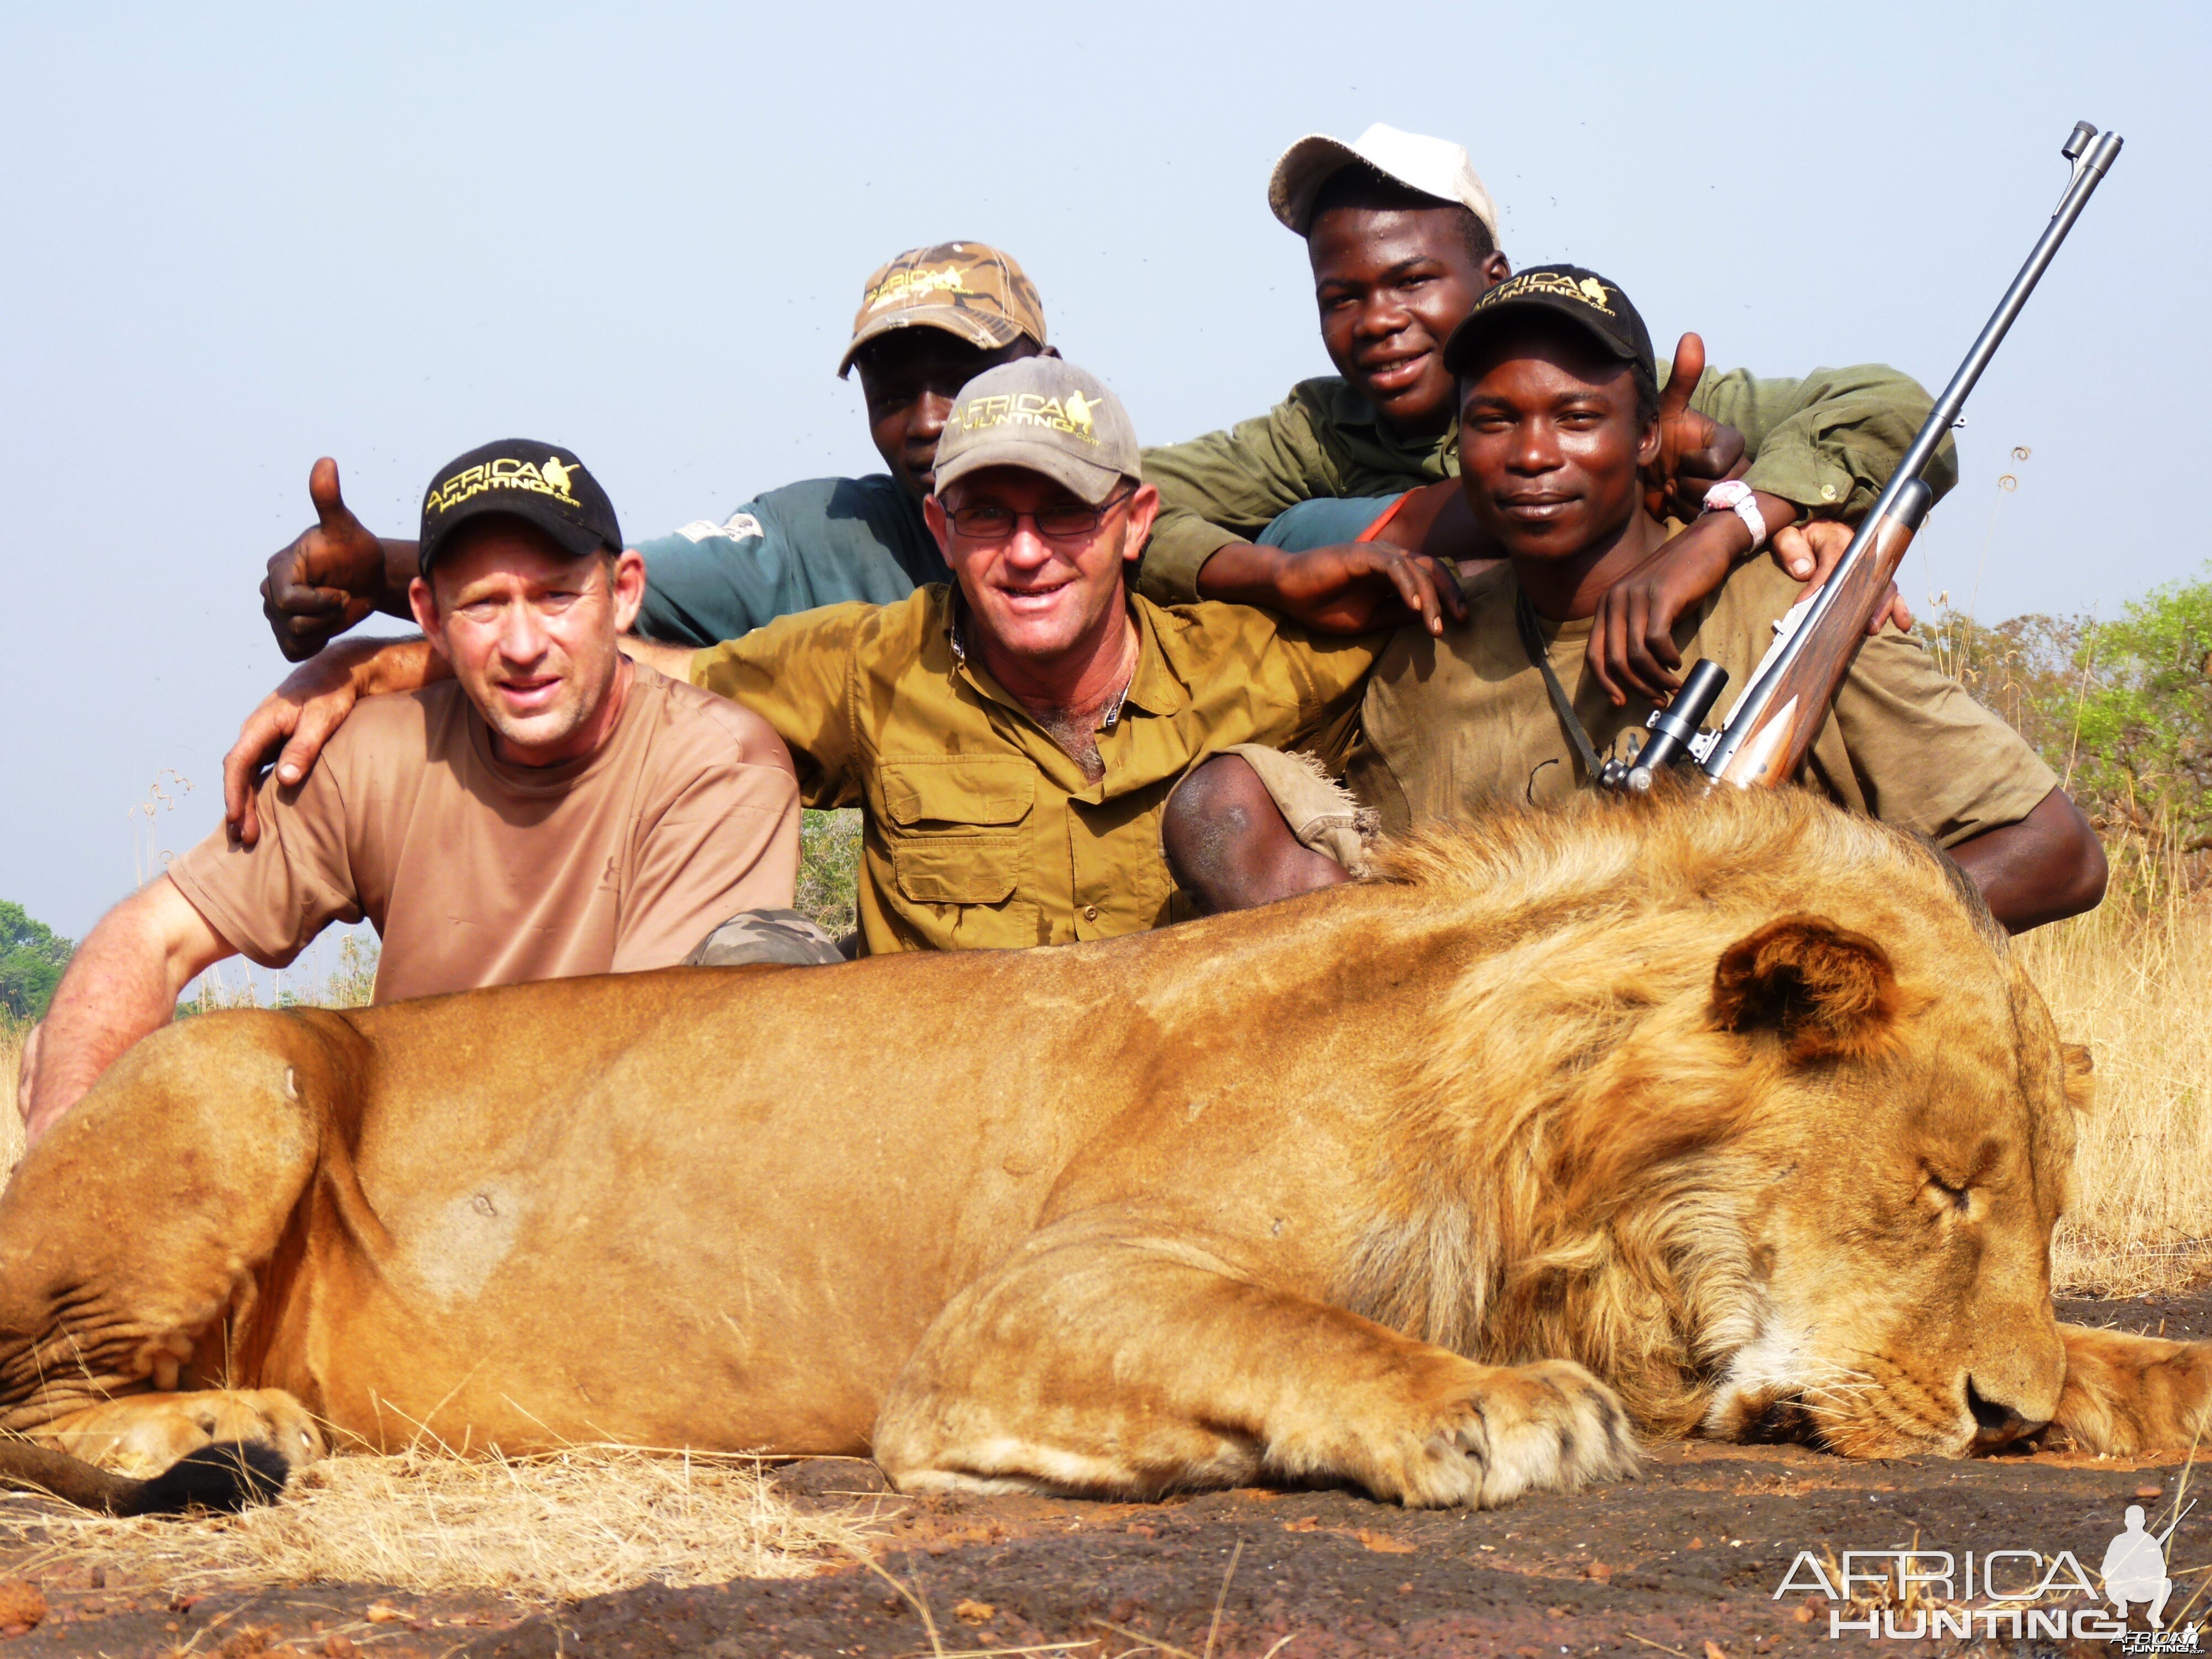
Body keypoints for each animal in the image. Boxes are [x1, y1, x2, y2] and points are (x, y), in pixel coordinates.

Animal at [0, 787, 2203, 1513]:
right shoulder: (1015, 1302)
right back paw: (211, 1436)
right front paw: (1494, 1410)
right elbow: (1305, 1332)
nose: (2002, 1420)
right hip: (240, 1077)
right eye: (1938, 1183)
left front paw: (2130, 1384)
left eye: (2029, 1206)